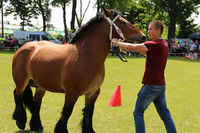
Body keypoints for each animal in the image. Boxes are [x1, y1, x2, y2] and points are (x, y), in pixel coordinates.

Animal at [11, 7, 145, 132]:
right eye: (122, 22)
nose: (143, 36)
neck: (85, 56)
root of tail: (26, 46)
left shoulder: (93, 92)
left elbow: (89, 112)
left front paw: (89, 130)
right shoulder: (72, 93)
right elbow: (67, 112)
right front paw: (61, 129)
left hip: (41, 86)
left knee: (37, 103)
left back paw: (36, 125)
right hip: (21, 82)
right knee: (17, 95)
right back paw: (20, 121)